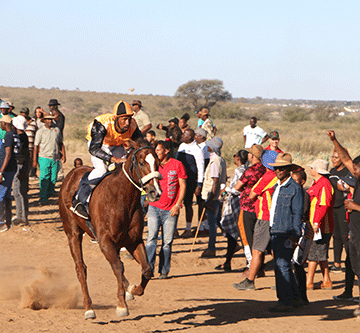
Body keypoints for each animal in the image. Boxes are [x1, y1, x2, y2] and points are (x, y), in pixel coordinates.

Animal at [58, 139, 162, 318]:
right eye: (141, 162)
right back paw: (89, 307)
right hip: (72, 232)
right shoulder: (105, 241)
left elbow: (147, 269)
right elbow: (118, 267)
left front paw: (133, 289)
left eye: (158, 162)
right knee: (81, 268)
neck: (121, 199)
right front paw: (121, 306)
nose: (155, 192)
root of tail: (71, 174)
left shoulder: (133, 240)